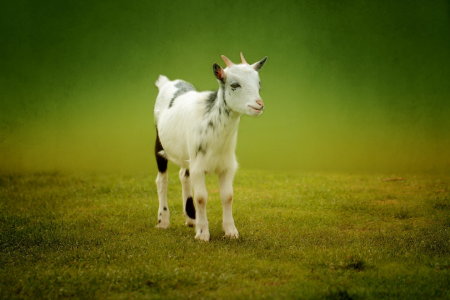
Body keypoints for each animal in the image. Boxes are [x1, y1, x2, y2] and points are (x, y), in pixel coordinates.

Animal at [154, 52, 268, 241]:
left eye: (258, 83)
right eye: (234, 85)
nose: (259, 104)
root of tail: (167, 82)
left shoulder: (227, 166)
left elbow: (228, 196)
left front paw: (231, 231)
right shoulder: (199, 167)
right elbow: (201, 197)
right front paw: (202, 234)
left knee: (183, 175)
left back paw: (190, 218)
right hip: (160, 145)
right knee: (162, 180)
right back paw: (163, 221)